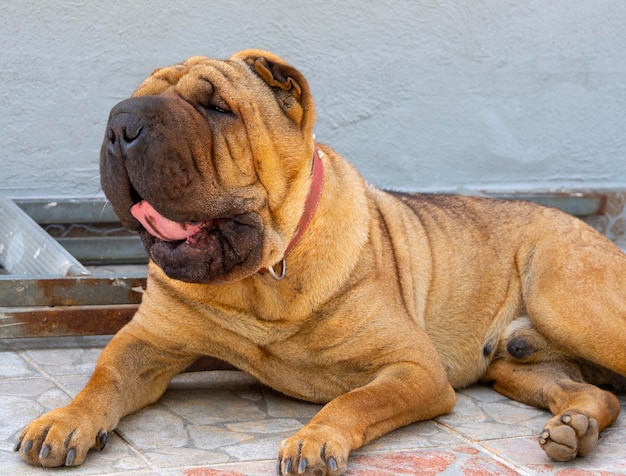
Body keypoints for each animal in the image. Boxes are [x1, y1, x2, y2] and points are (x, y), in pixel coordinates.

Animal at [14, 50, 624, 474]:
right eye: (127, 103)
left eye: (216, 107)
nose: (121, 124)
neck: (261, 278)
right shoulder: (146, 343)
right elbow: (101, 379)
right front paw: (62, 422)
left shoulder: (413, 367)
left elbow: (356, 399)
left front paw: (315, 437)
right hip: (518, 367)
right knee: (596, 393)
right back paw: (573, 430)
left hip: (566, 300)